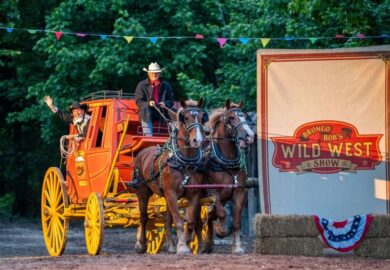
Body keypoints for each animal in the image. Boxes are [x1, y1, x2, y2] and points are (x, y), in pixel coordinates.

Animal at [132, 98, 207, 254]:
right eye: (185, 117)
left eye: (202, 118)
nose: (197, 140)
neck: (184, 161)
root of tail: (142, 152)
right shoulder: (171, 192)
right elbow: (178, 221)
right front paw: (183, 246)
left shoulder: (194, 193)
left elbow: (190, 221)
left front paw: (185, 242)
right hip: (143, 191)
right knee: (143, 217)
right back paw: (141, 245)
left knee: (167, 220)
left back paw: (172, 246)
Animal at [204, 98, 256, 254]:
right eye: (231, 118)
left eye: (245, 116)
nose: (250, 136)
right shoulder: (213, 192)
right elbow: (220, 213)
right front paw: (221, 230)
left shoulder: (240, 192)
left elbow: (237, 221)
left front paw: (237, 247)